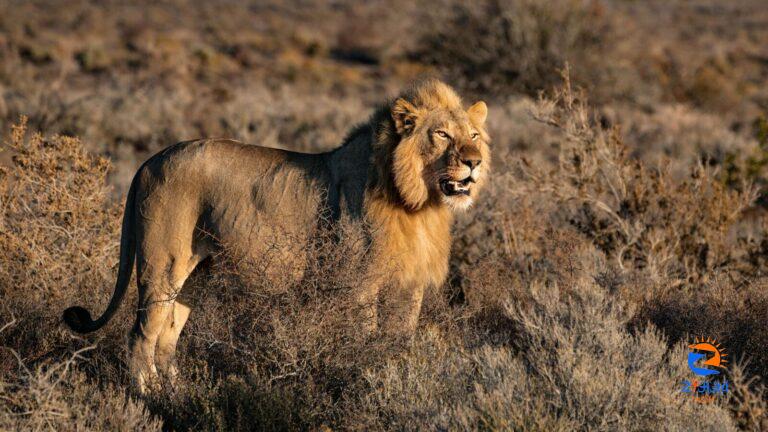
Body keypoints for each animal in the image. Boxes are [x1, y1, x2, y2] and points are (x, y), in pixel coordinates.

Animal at [63, 77, 488, 392]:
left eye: (474, 135)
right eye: (442, 135)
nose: (475, 162)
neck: (419, 204)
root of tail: (149, 161)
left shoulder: (409, 286)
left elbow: (399, 341)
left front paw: (395, 375)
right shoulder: (360, 285)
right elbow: (364, 340)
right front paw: (365, 379)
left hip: (196, 274)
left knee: (167, 337)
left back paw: (178, 394)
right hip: (162, 265)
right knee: (140, 335)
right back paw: (148, 397)